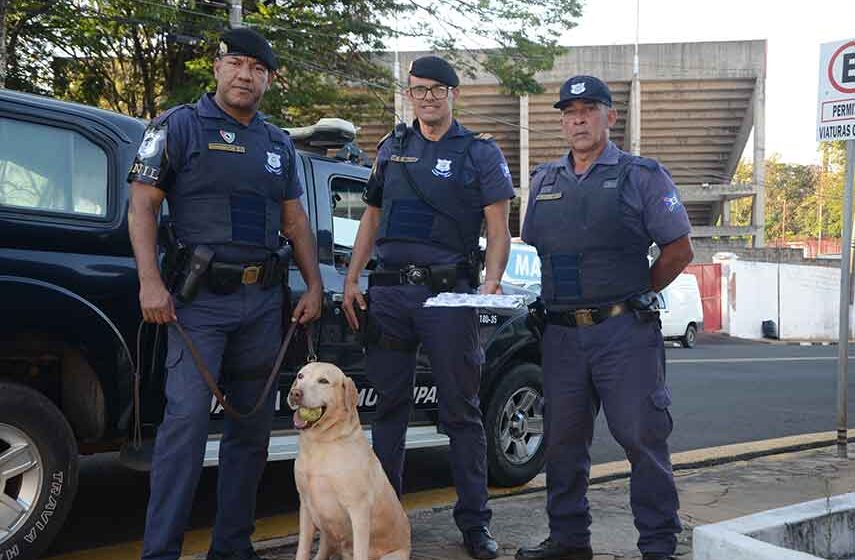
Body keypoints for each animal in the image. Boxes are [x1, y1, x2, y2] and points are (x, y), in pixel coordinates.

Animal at [288, 360, 412, 556]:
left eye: (323, 381)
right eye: (300, 376)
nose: (295, 393)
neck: (321, 442)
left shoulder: (359, 510)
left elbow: (360, 552)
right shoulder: (305, 506)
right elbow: (302, 550)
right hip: (327, 532)